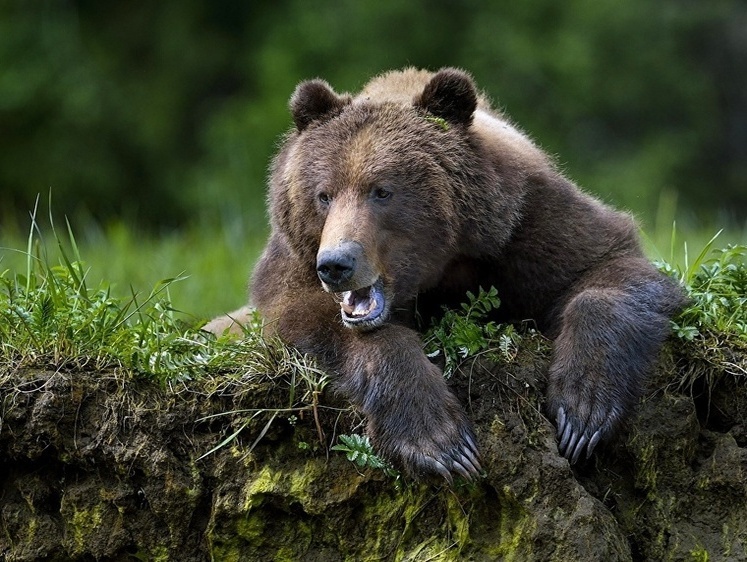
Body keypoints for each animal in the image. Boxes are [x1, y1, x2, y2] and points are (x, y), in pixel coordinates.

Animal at [203, 65, 684, 476]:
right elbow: (312, 321)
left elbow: (607, 267)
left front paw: (582, 410)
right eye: (324, 194)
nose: (336, 265)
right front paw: (441, 441)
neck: (442, 266)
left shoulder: (527, 223)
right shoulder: (294, 263)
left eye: (382, 191)